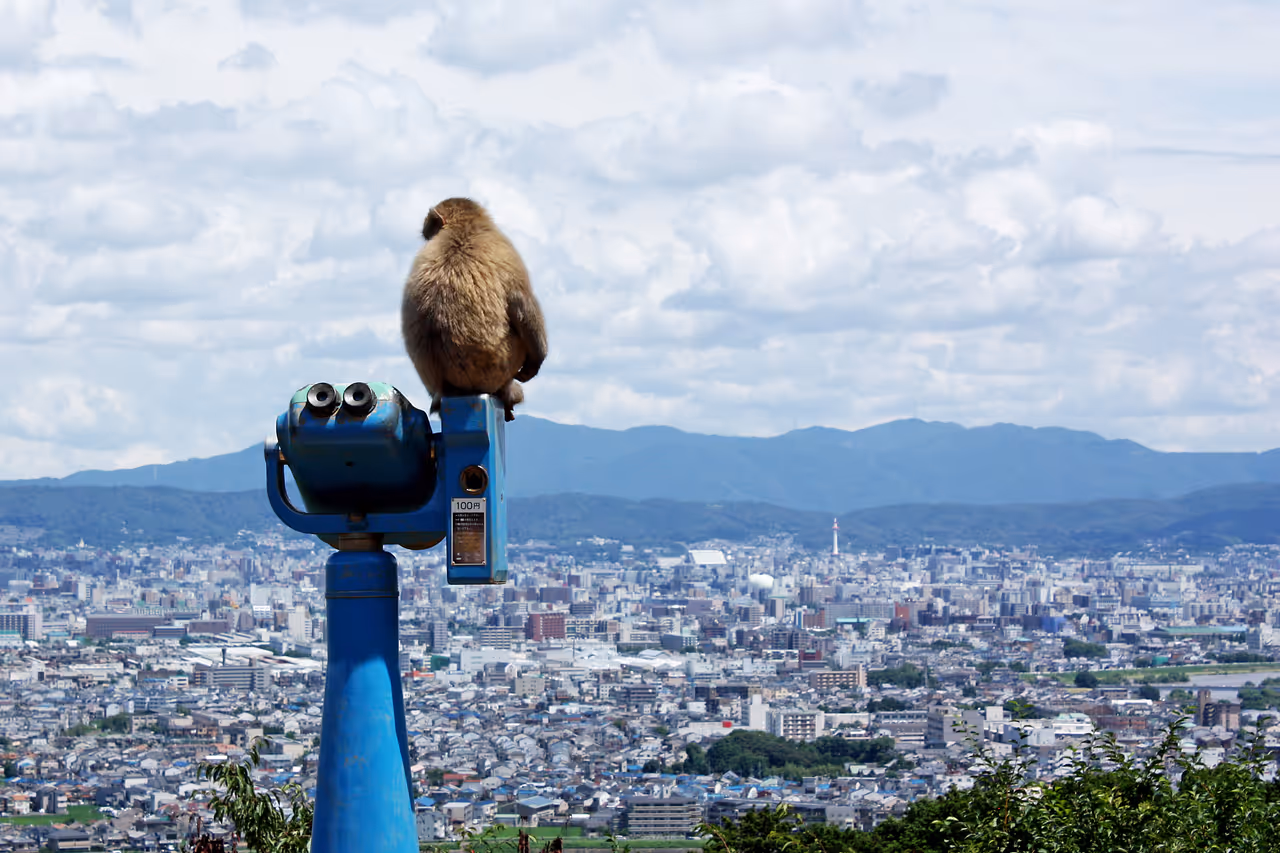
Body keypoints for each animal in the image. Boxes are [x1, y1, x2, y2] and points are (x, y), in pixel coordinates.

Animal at [401, 197, 547, 422]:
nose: (427, 236)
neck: (462, 226)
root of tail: (448, 388)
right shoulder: (506, 250)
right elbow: (521, 301)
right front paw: (536, 362)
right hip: (501, 365)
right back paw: (511, 395)